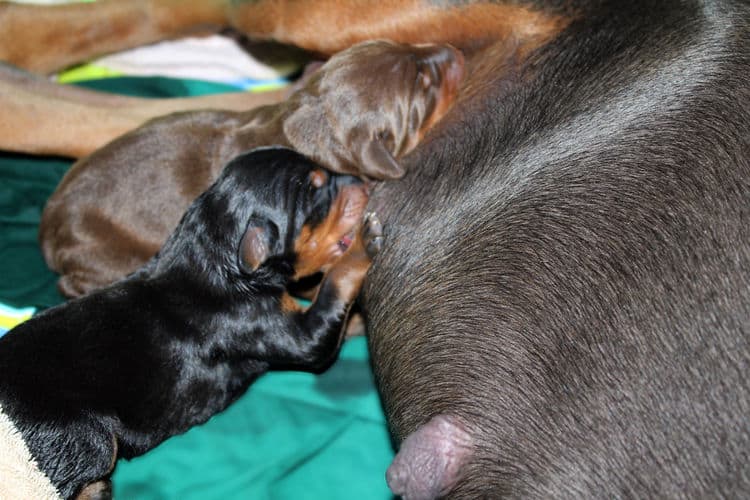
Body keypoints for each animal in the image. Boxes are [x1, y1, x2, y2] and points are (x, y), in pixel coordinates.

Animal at [0, 146, 378, 498]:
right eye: (316, 191)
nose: (367, 182)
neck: (217, 257)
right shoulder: (291, 332)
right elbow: (333, 289)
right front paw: (363, 243)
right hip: (86, 434)